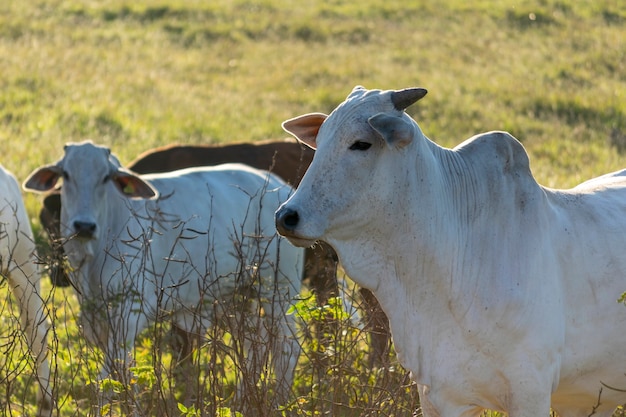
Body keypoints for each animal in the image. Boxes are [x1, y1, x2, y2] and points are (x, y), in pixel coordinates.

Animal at [25, 141, 304, 410]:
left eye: (106, 177)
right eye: (66, 174)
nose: (83, 226)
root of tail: (278, 186)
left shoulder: (130, 314)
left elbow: (108, 380)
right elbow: (125, 375)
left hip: (279, 289)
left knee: (287, 349)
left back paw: (279, 403)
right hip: (239, 295)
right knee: (250, 345)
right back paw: (241, 403)